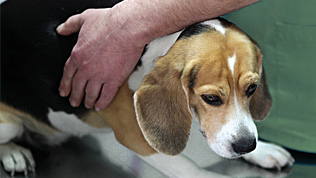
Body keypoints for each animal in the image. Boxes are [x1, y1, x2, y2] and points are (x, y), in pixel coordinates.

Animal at [1, 0, 294, 177]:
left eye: (252, 89)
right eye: (211, 98)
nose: (246, 146)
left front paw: (263, 150)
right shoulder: (135, 134)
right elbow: (191, 169)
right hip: (10, 124)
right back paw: (14, 153)